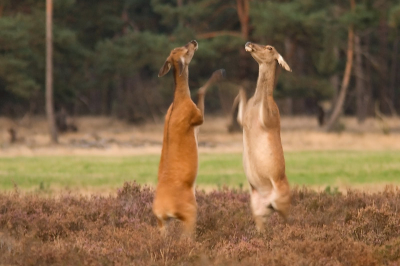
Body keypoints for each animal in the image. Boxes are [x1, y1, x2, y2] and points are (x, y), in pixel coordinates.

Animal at [152, 40, 225, 239]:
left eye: (177, 47)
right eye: (185, 50)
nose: (193, 42)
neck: (179, 100)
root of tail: (163, 209)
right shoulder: (196, 117)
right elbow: (200, 91)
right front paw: (218, 73)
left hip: (161, 223)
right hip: (190, 209)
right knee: (187, 238)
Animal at [236, 42, 292, 233]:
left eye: (270, 48)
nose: (249, 43)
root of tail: (269, 204)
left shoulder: (271, 119)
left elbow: (266, 107)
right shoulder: (243, 119)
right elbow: (240, 110)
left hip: (283, 201)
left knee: (290, 220)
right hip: (257, 208)